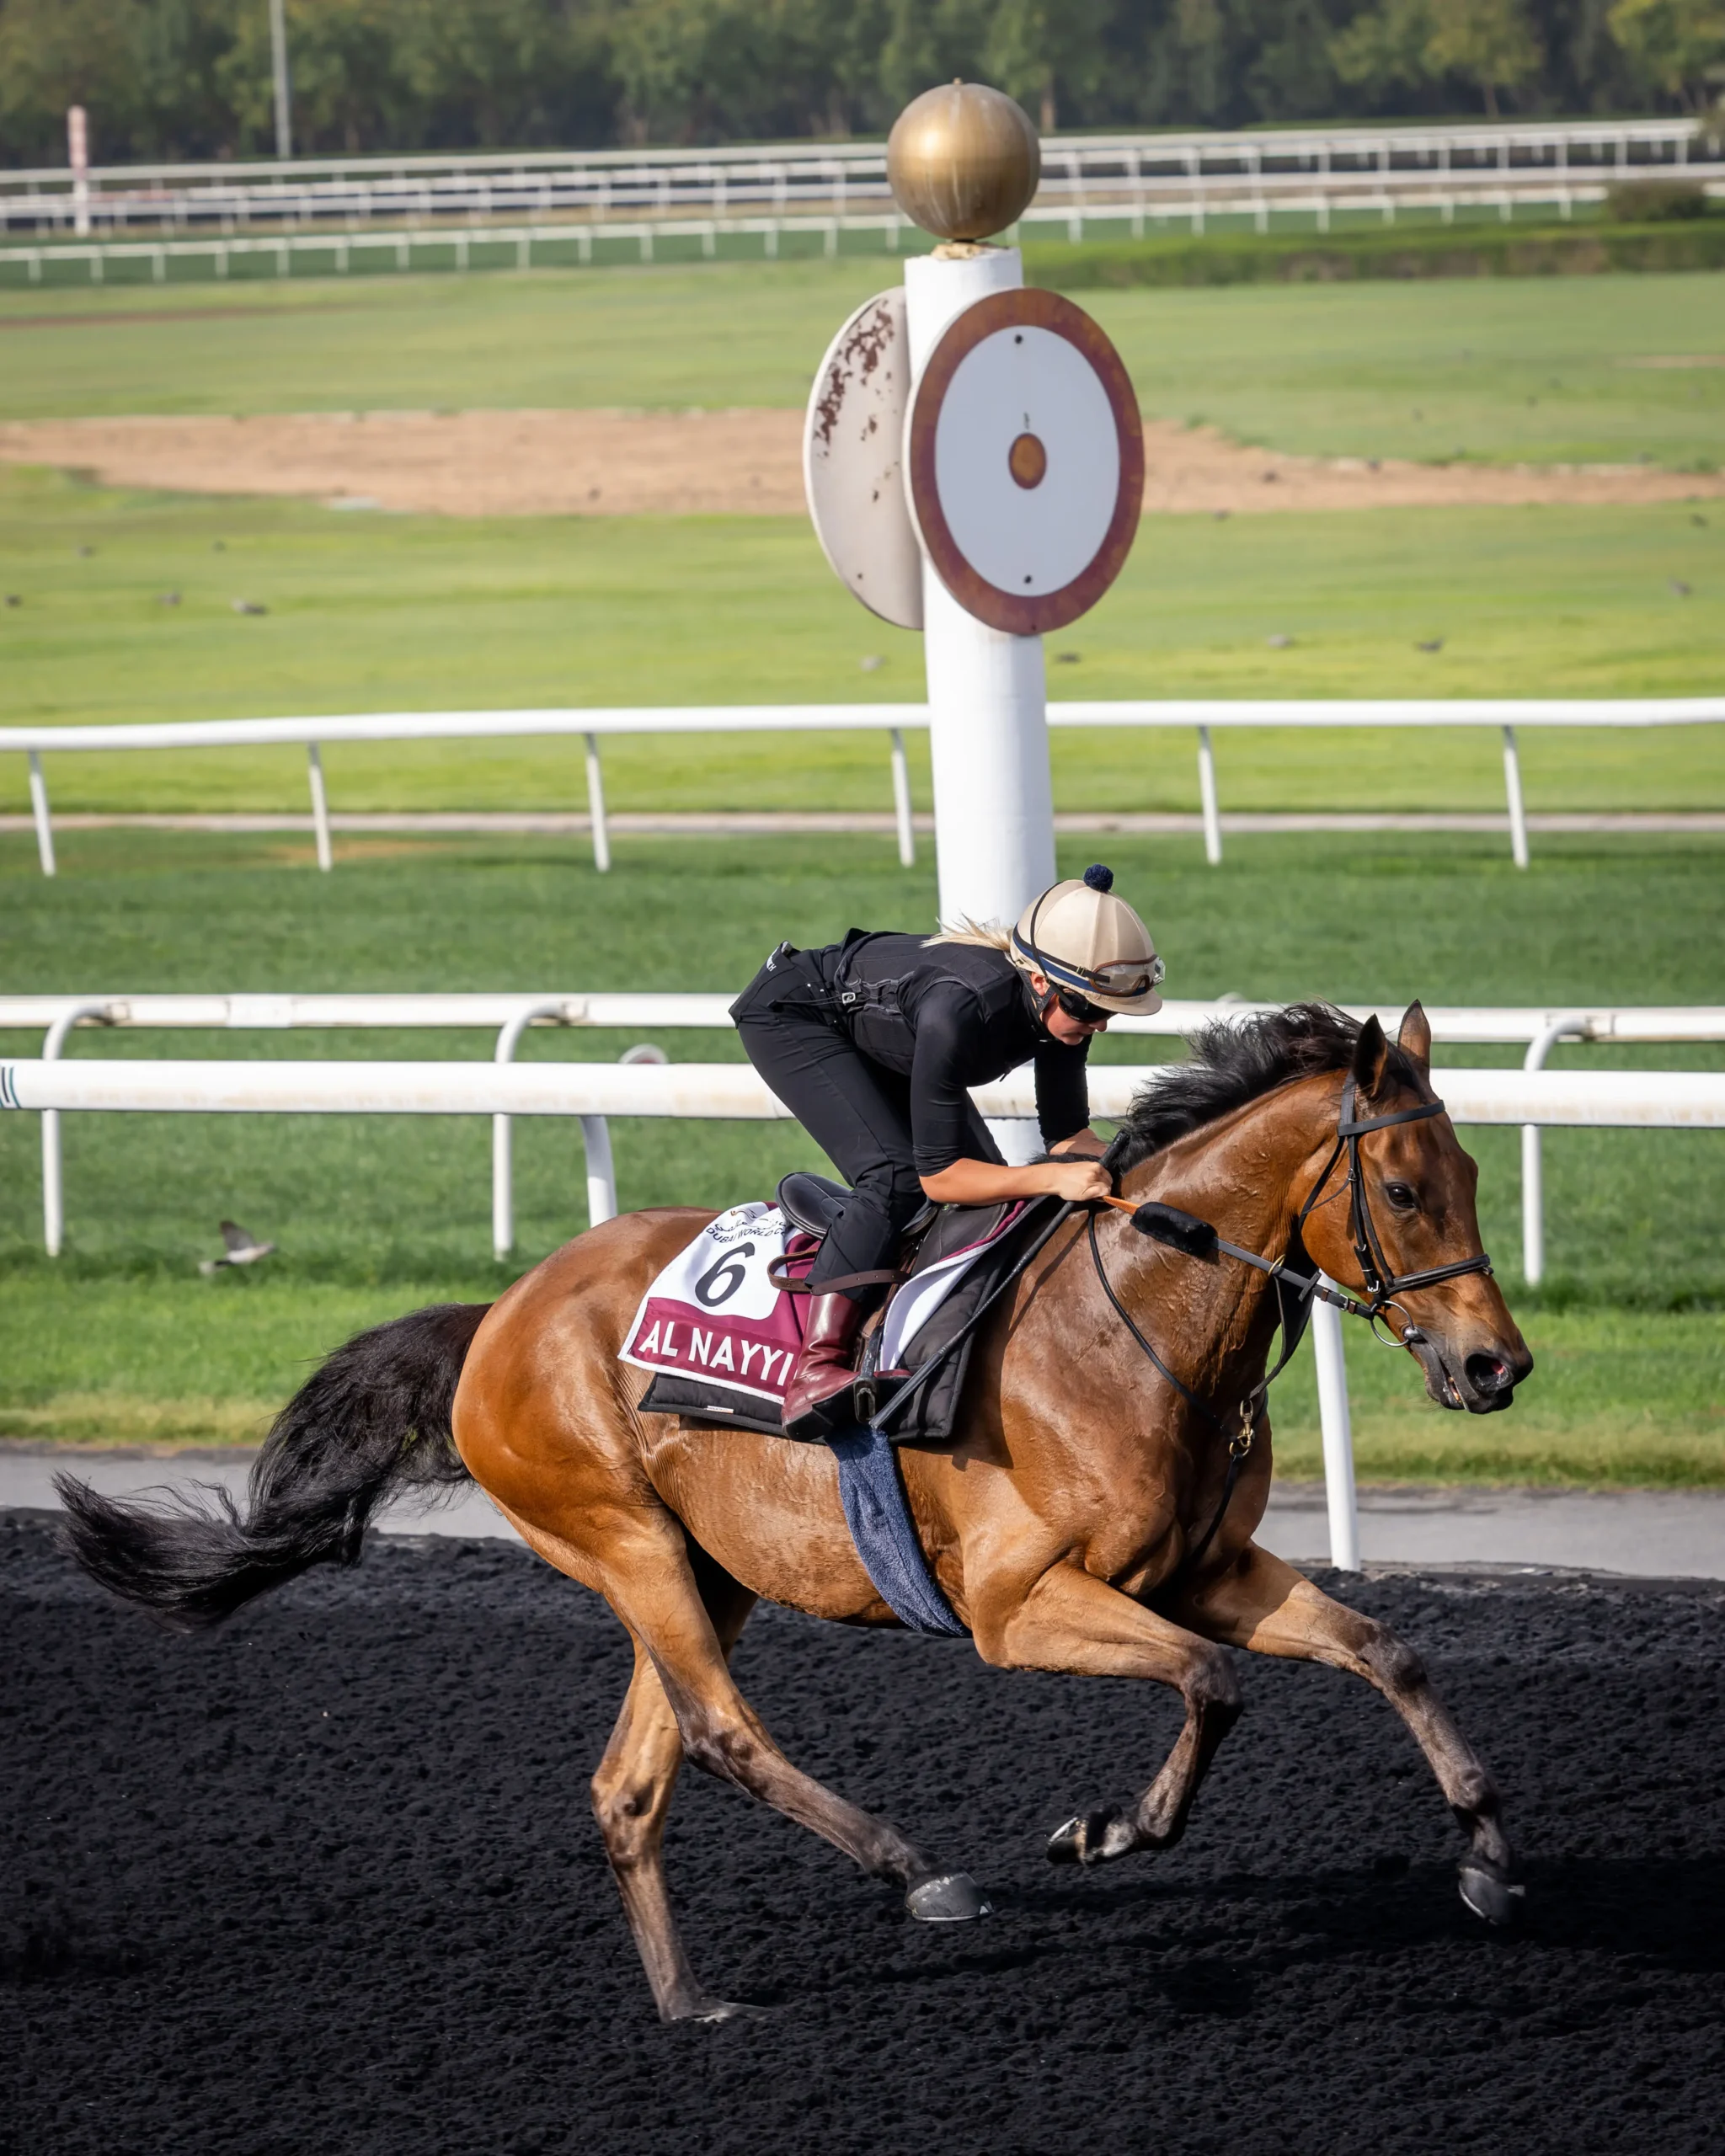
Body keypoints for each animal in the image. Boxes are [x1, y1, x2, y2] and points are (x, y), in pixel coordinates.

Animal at [59, 1001, 1534, 2024]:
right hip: (624, 1539)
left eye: (1473, 1176)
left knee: (631, 1784)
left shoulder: (1207, 1568)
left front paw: (1484, 1855)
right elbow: (1214, 1686)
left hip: (707, 1571)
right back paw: (916, 1870)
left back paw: (689, 2001)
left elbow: (1385, 1649)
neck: (1133, 1330)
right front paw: (1115, 1828)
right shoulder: (1017, 1606)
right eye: (1405, 1191)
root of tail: (498, 1317)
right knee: (722, 1733)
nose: (1495, 1367)